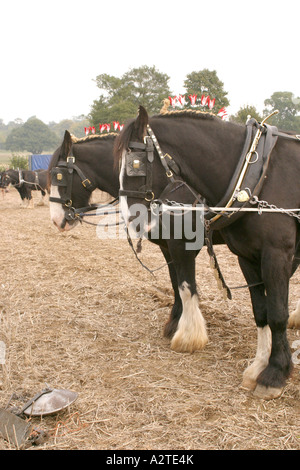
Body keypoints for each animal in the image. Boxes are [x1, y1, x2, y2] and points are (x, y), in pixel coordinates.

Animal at [115, 106, 300, 400]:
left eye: (135, 163)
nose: (131, 220)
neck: (259, 173)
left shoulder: (276, 255)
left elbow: (277, 314)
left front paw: (275, 373)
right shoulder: (247, 258)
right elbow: (260, 311)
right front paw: (258, 366)